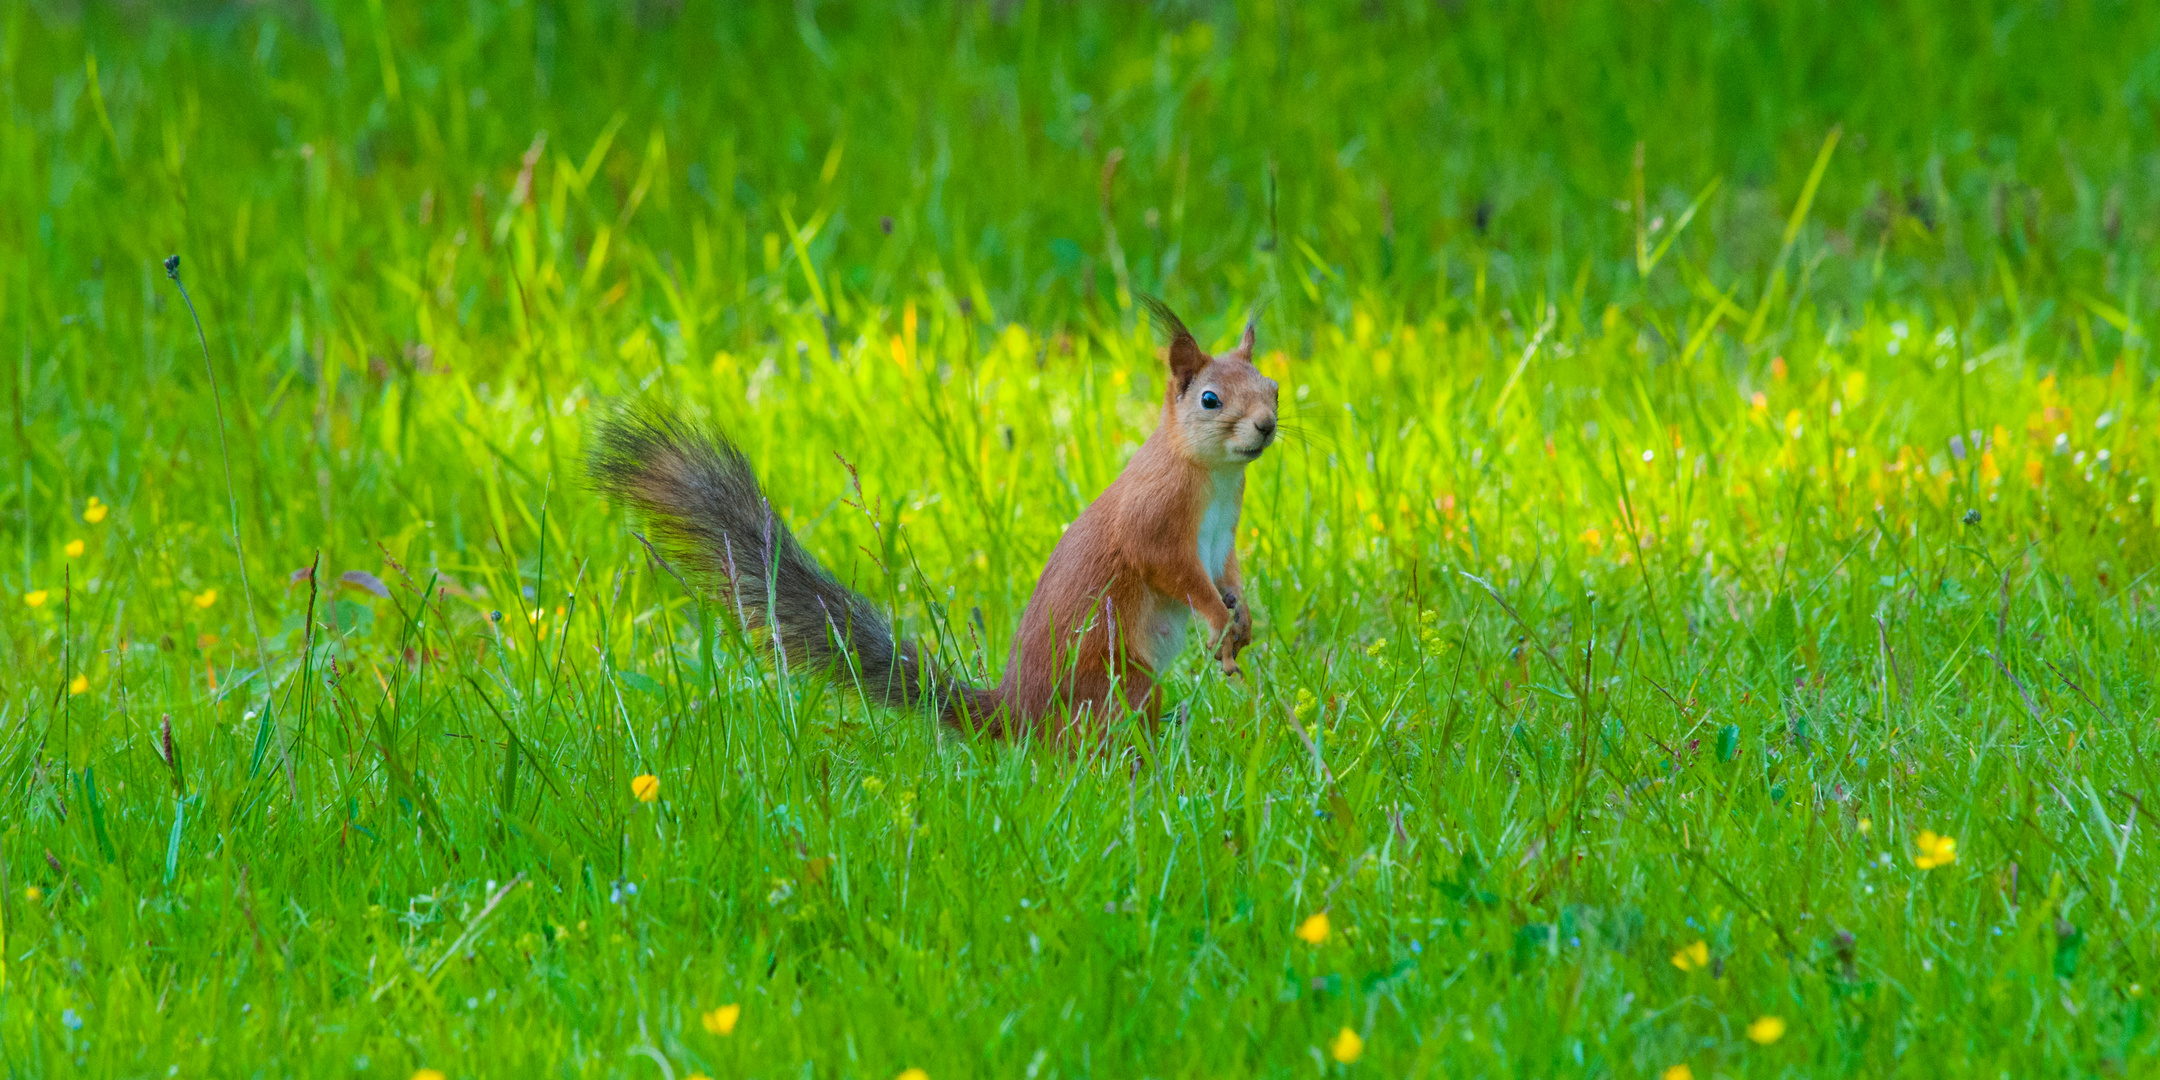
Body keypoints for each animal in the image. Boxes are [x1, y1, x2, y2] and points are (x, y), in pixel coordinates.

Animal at [583, 300, 1270, 738]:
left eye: (1272, 387)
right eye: (1210, 399)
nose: (1265, 427)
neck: (1211, 476)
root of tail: (1013, 714)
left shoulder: (1221, 538)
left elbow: (1225, 572)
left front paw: (1241, 620)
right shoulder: (1156, 524)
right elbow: (1175, 572)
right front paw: (1218, 619)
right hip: (1115, 681)